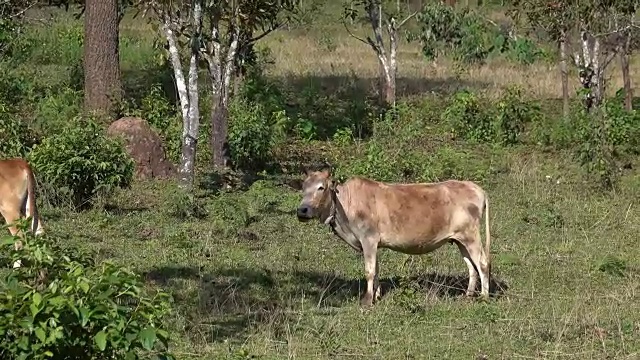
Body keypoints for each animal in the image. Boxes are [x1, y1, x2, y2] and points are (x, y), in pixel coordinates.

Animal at [298, 168, 492, 306]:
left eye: (321, 187)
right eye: (303, 188)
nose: (302, 210)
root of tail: (476, 188)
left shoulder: (368, 239)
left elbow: (369, 271)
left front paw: (367, 301)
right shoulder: (373, 243)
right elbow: (376, 270)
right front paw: (376, 296)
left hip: (471, 235)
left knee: (482, 263)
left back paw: (484, 296)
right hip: (460, 240)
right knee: (471, 266)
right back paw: (468, 295)